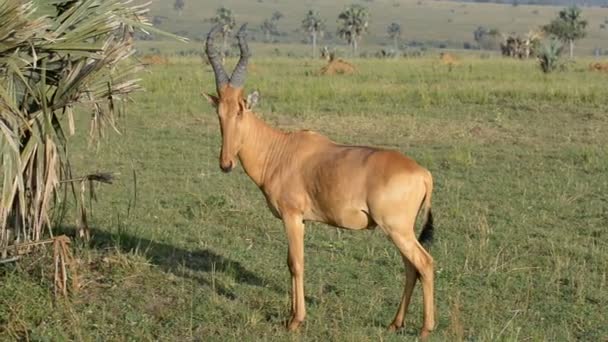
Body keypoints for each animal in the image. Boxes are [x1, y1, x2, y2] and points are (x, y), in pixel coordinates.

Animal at [204, 24, 436, 340]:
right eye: (220, 112)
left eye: (241, 109)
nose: (226, 163)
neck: (282, 149)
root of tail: (422, 173)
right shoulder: (300, 220)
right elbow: (291, 262)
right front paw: (292, 315)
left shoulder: (292, 216)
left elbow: (296, 263)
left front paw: (295, 321)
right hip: (401, 231)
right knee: (411, 268)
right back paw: (394, 323)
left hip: (397, 229)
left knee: (424, 264)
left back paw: (425, 329)